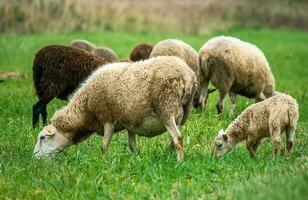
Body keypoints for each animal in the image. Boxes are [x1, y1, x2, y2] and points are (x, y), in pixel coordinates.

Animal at [33, 55, 197, 161]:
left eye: (42, 138)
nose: (34, 159)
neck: (85, 111)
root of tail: (187, 75)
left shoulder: (107, 118)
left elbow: (104, 145)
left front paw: (104, 163)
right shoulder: (130, 122)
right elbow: (132, 145)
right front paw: (138, 160)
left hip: (166, 109)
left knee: (177, 138)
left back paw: (179, 163)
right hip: (182, 113)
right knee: (173, 140)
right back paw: (167, 157)